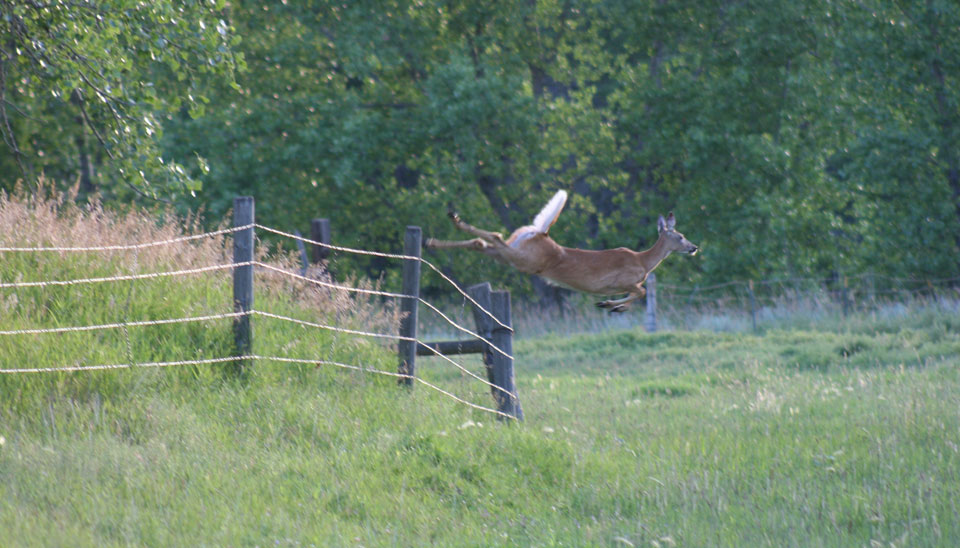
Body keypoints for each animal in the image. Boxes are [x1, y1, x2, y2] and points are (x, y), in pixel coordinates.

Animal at [428, 191, 696, 312]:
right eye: (681, 236)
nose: (694, 248)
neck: (644, 261)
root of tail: (542, 234)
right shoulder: (623, 280)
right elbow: (641, 292)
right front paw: (611, 305)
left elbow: (639, 293)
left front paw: (610, 305)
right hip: (526, 259)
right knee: (493, 237)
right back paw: (451, 222)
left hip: (513, 255)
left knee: (481, 243)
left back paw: (437, 236)